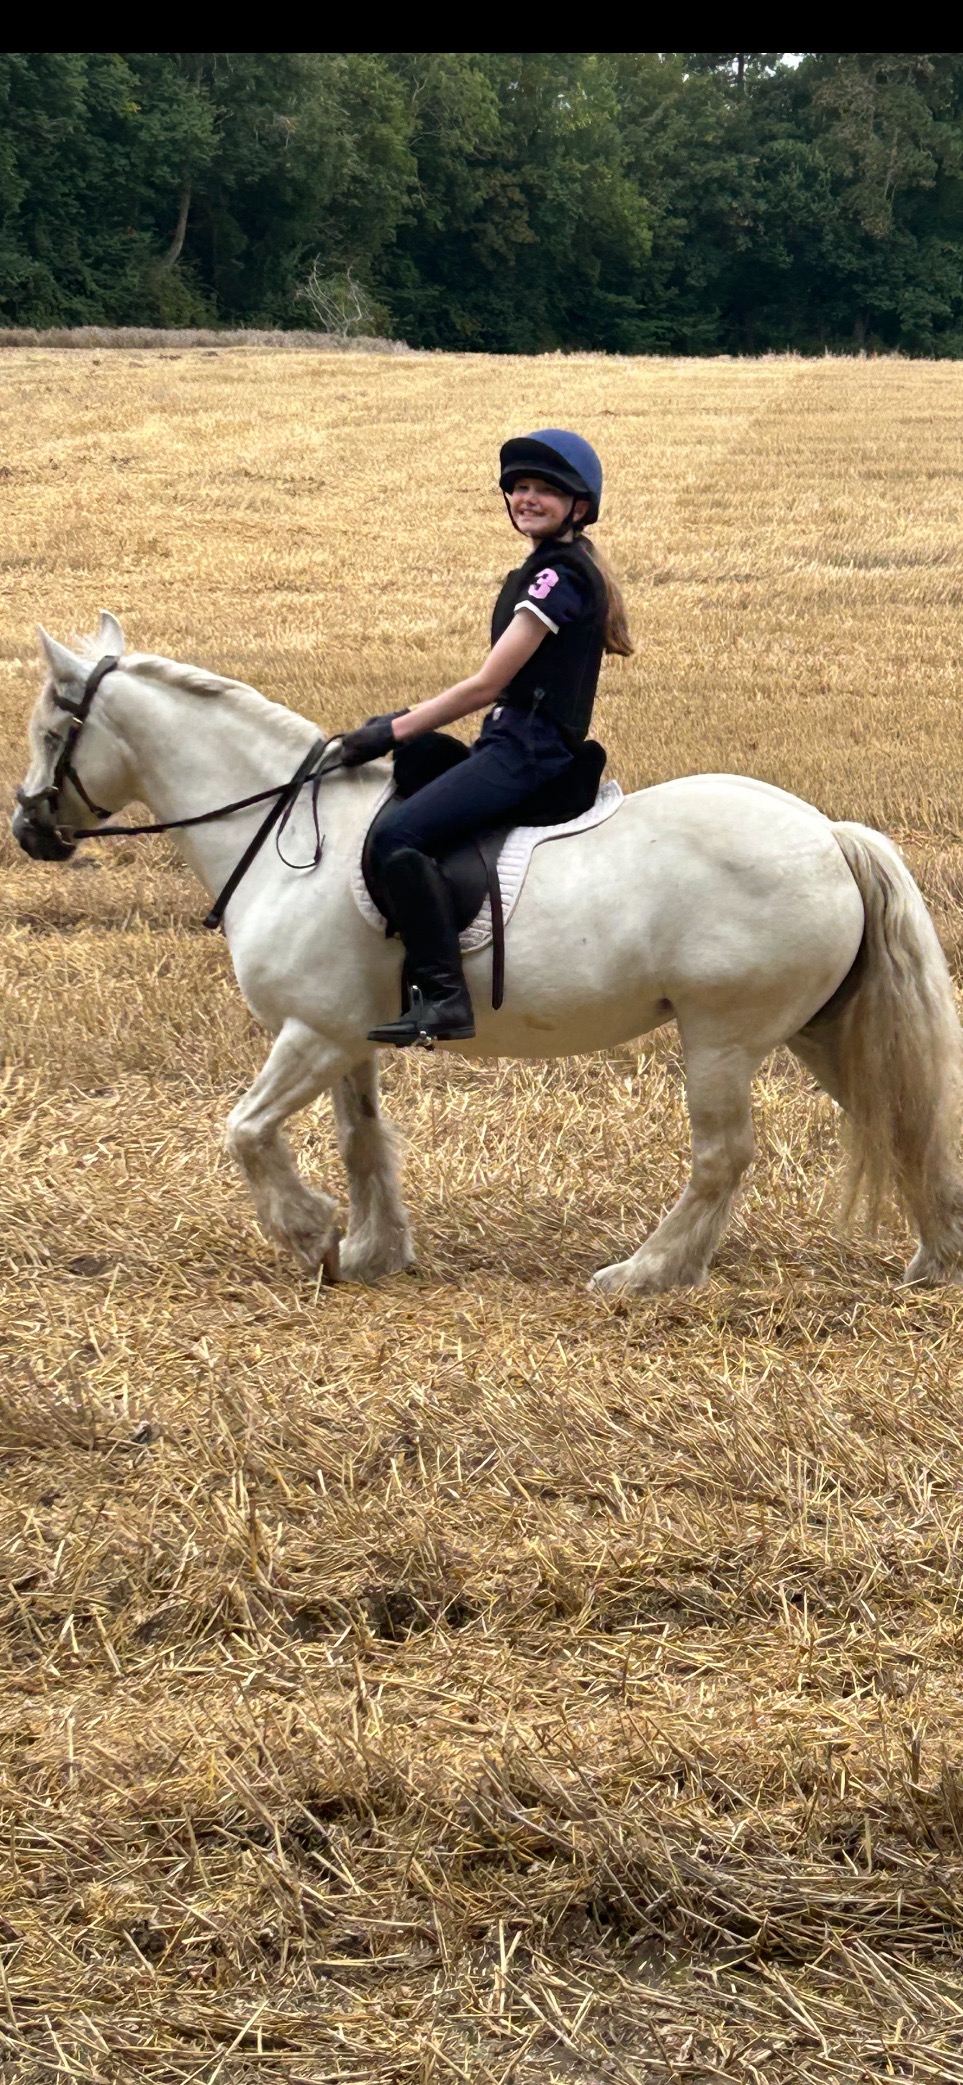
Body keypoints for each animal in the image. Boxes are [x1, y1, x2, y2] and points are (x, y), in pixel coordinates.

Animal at [12, 613, 963, 1294]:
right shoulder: (347, 1037)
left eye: (51, 731)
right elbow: (361, 1139)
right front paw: (373, 1250)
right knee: (897, 1116)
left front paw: (309, 1231)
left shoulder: (311, 1032)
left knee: (721, 1157)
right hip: (818, 1030)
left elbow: (245, 1130)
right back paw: (935, 1258)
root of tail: (827, 834)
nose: (28, 830)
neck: (285, 831)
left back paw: (645, 1273)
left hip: (721, 1039)